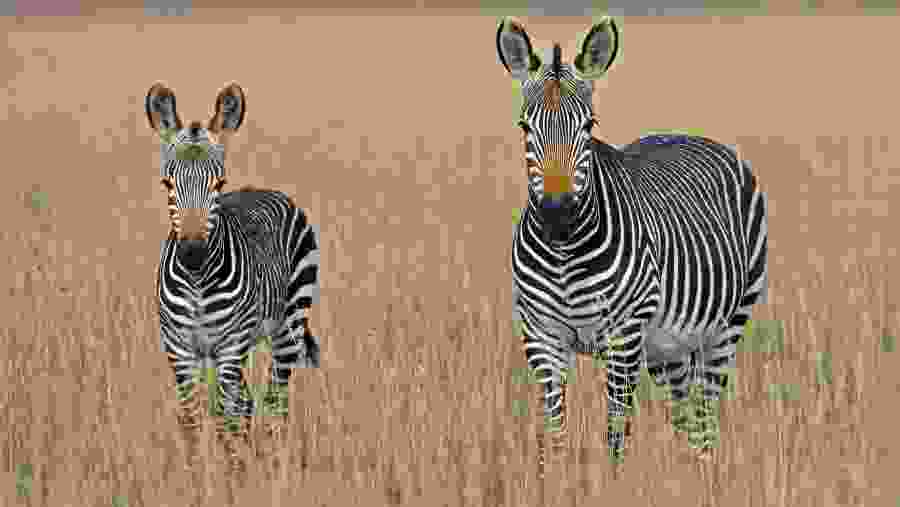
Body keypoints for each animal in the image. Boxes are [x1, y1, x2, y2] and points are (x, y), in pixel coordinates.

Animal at [146, 82, 321, 469]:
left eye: (219, 183)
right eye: (166, 184)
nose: (192, 255)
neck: (197, 282)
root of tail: (266, 190)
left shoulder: (229, 347)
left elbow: (226, 421)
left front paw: (232, 475)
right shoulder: (180, 350)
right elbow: (192, 421)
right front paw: (195, 474)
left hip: (287, 329)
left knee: (273, 401)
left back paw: (272, 463)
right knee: (248, 402)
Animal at [498, 17, 768, 475]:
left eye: (589, 125)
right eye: (524, 127)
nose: (557, 213)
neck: (564, 254)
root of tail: (688, 133)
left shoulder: (623, 336)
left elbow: (615, 433)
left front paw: (613, 482)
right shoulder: (541, 337)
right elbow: (554, 433)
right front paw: (555, 481)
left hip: (727, 326)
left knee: (706, 412)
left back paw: (705, 472)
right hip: (667, 346)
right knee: (684, 410)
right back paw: (684, 472)